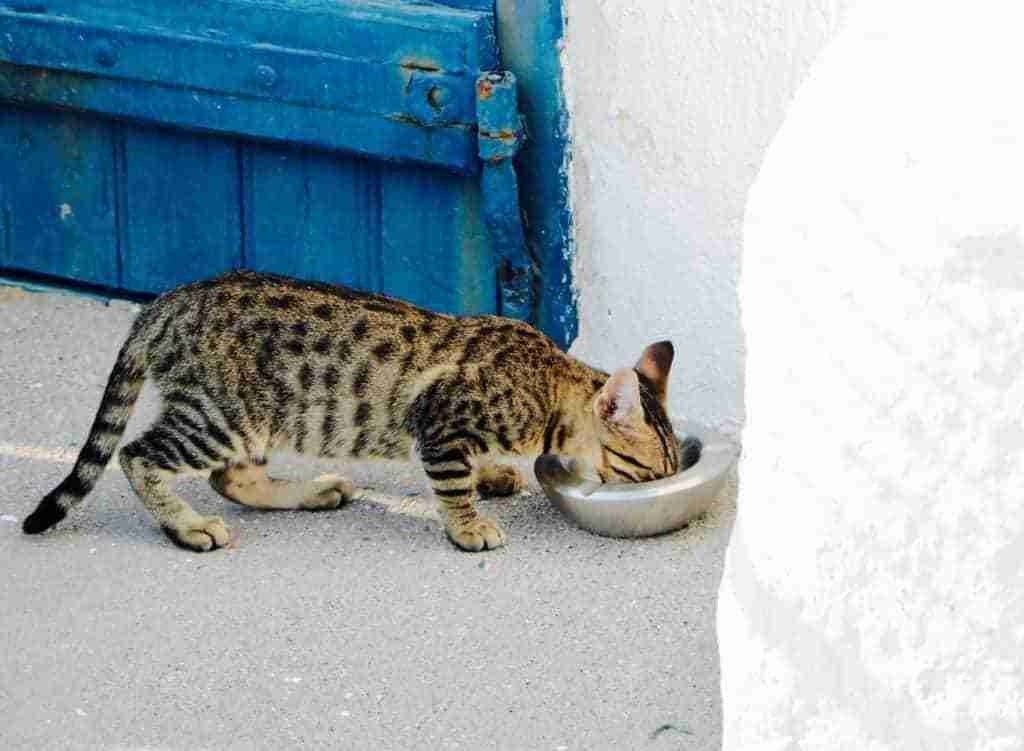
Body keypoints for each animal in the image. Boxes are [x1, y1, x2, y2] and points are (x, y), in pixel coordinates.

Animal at [22, 270, 688, 549]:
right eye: (647, 472)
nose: (658, 487)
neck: (547, 382)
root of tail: (164, 305)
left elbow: (475, 470)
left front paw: (496, 475)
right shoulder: (440, 422)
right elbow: (451, 484)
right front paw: (469, 526)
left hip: (254, 421)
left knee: (232, 478)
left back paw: (312, 491)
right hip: (221, 416)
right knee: (139, 456)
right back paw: (186, 526)